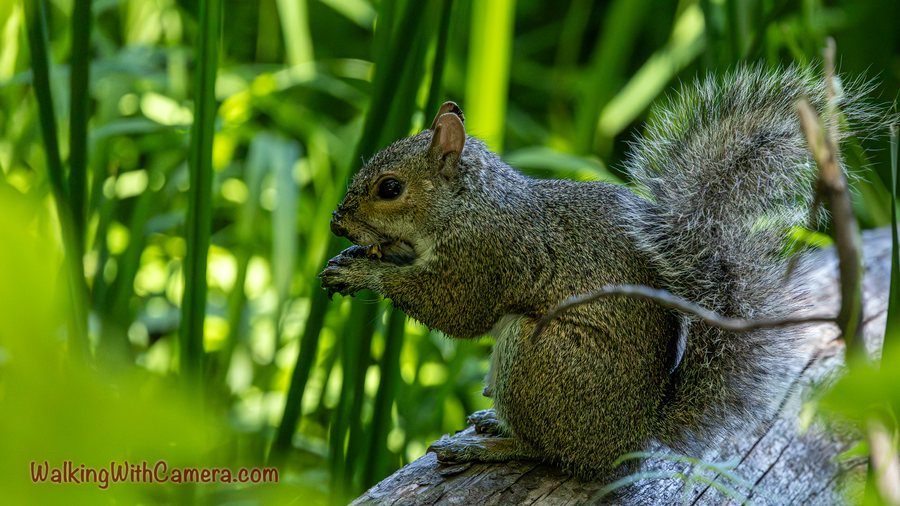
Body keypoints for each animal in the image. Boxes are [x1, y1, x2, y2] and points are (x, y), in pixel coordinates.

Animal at [319, 65, 873, 479]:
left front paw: (365, 275)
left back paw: (491, 446)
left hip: (541, 357)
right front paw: (354, 260)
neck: (470, 204)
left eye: (390, 188)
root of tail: (631, 437)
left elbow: (457, 311)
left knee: (545, 449)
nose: (336, 222)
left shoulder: (485, 256)